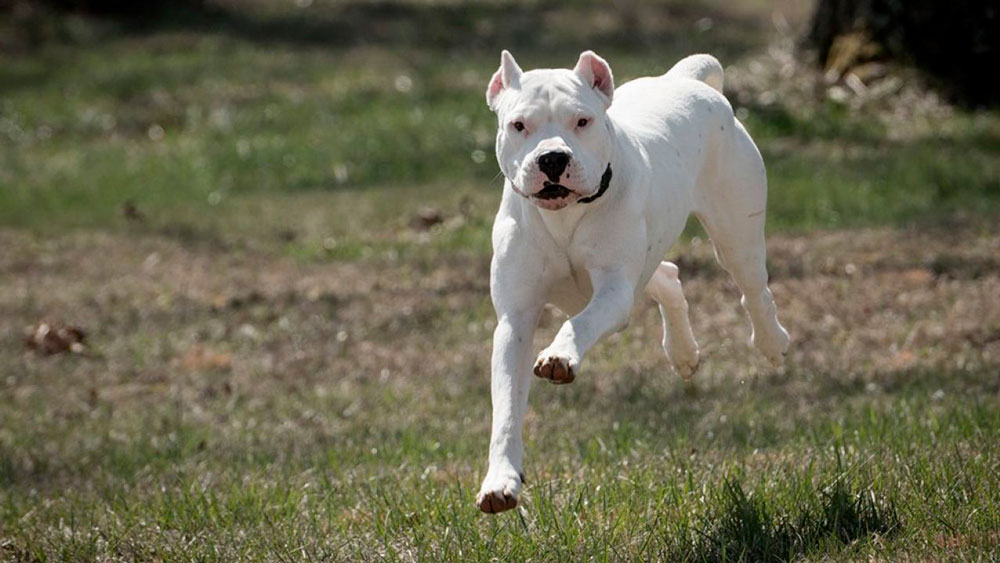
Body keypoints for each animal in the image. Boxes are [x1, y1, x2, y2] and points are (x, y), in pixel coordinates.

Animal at [476, 50, 788, 512]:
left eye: (582, 121)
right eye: (519, 125)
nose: (552, 158)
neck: (565, 217)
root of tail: (685, 79)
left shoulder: (614, 291)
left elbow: (580, 323)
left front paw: (559, 355)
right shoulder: (515, 319)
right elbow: (507, 410)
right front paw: (500, 481)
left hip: (736, 233)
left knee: (754, 290)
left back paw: (771, 342)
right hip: (650, 258)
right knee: (669, 277)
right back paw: (683, 352)